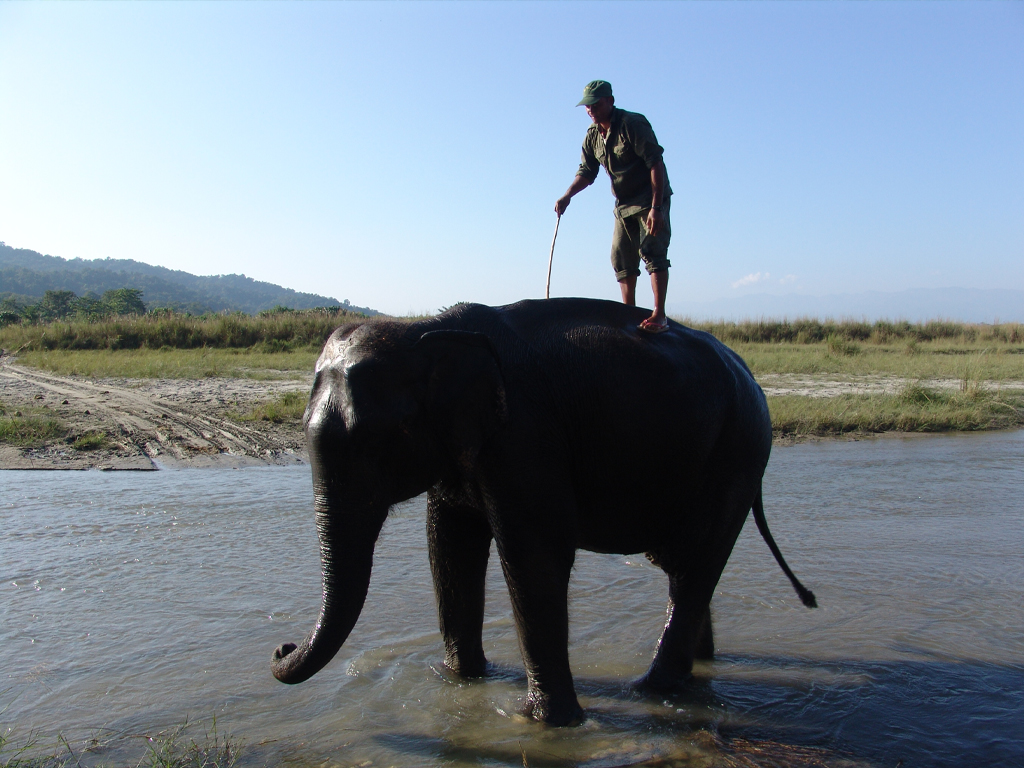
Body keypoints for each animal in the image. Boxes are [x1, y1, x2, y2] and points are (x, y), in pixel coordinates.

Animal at [272, 296, 815, 724]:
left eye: (376, 440)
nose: (281, 646)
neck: (427, 328)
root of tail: (752, 377)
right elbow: (449, 546)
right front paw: (458, 684)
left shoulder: (526, 435)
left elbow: (533, 555)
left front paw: (548, 723)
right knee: (686, 568)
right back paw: (699, 671)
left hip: (738, 453)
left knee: (695, 568)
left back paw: (653, 690)